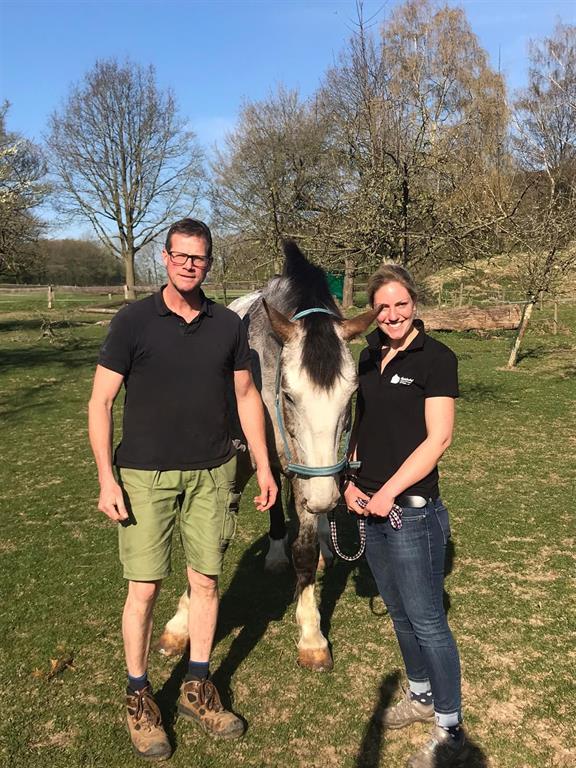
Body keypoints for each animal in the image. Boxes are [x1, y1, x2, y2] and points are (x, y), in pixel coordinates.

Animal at [157, 242, 379, 671]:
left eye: (351, 397)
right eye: (289, 396)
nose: (326, 498)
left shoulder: (311, 475)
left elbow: (306, 552)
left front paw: (311, 636)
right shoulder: (236, 467)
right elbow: (211, 546)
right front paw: (180, 625)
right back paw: (276, 552)